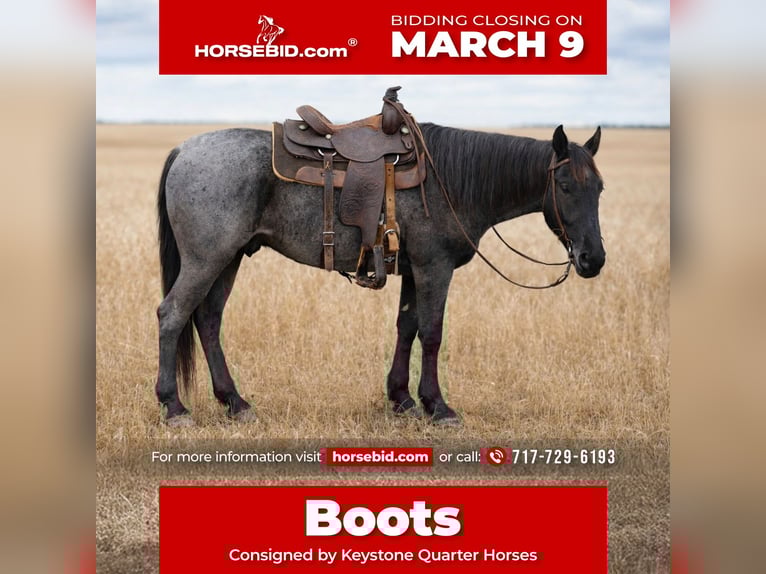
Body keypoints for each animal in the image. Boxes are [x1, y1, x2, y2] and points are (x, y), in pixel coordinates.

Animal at [155, 120, 605, 426]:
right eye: (565, 186)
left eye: (598, 188)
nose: (593, 259)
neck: (451, 183)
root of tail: (183, 148)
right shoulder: (434, 268)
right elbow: (432, 333)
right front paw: (438, 406)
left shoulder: (413, 270)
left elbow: (407, 327)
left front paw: (402, 399)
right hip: (206, 259)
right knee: (172, 315)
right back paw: (174, 406)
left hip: (227, 258)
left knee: (208, 320)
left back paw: (235, 402)